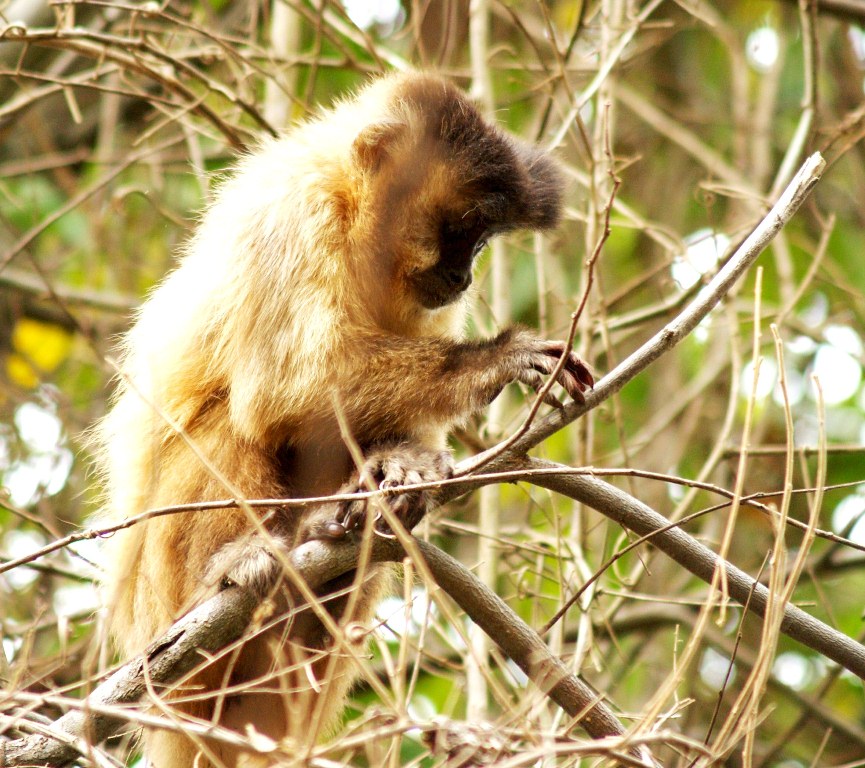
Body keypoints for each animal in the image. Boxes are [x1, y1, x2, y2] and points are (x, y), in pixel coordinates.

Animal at [93, 69, 592, 764]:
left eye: (483, 240)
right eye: (463, 227)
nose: (466, 274)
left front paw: (403, 466)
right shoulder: (294, 213)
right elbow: (282, 392)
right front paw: (498, 358)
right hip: (157, 605)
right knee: (229, 421)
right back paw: (240, 564)